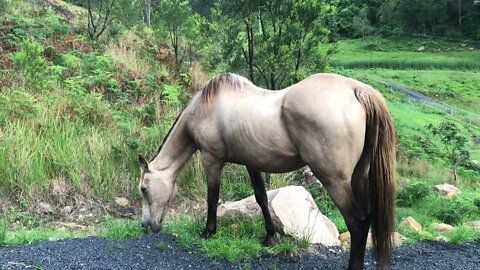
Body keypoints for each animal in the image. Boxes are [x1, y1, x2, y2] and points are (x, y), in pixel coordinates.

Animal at [138, 73, 394, 268]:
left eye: (143, 189)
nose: (145, 225)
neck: (204, 109)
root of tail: (356, 89)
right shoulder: (252, 163)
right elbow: (261, 198)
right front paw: (270, 236)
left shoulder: (212, 160)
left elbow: (212, 197)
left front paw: (208, 232)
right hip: (358, 177)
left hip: (336, 180)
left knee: (357, 221)